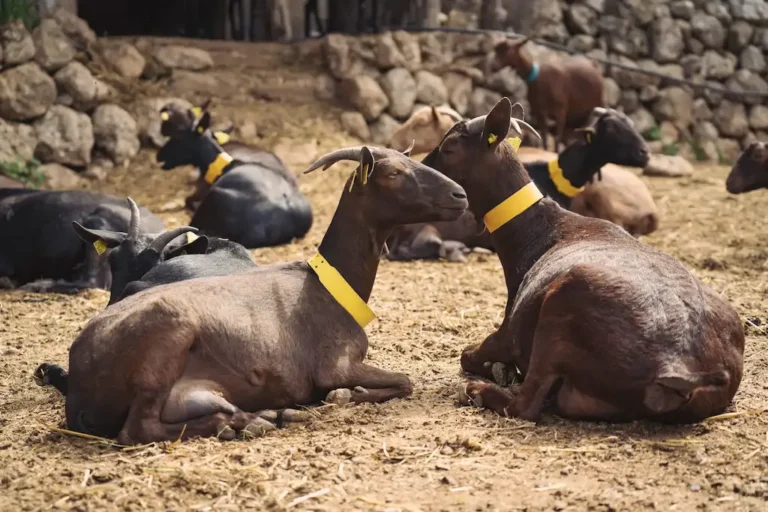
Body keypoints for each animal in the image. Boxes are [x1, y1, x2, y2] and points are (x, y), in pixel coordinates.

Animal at [33, 146, 467, 444]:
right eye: (394, 172)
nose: (460, 195)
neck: (330, 286)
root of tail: (80, 384)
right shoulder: (335, 365)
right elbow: (402, 380)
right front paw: (346, 395)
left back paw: (266, 416)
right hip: (166, 339)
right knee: (137, 429)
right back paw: (250, 423)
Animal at [422, 97, 743, 423]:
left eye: (449, 147)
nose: (423, 168)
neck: (540, 228)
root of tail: (677, 366)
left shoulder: (508, 331)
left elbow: (472, 353)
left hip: (559, 312)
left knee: (525, 404)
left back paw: (475, 391)